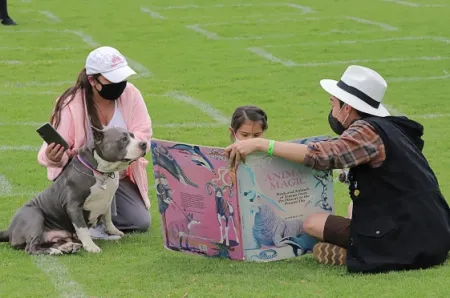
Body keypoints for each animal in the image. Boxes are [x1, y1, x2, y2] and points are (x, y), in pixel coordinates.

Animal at [0, 127, 146, 255]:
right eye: (123, 139)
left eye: (133, 136)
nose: (144, 143)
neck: (102, 172)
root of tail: (9, 230)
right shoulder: (73, 205)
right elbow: (82, 228)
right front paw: (91, 246)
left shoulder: (107, 200)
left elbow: (108, 217)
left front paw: (114, 231)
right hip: (34, 215)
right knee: (30, 248)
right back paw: (54, 251)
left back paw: (67, 247)